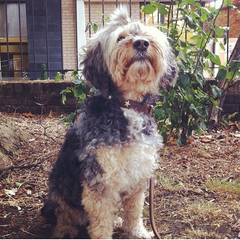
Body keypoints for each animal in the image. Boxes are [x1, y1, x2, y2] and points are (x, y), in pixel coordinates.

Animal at [42, 6, 178, 240]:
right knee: (65, 215)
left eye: (147, 35)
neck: (128, 106)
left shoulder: (138, 175)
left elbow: (134, 209)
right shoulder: (100, 181)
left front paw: (137, 231)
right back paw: (65, 230)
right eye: (120, 38)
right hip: (61, 189)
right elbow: (100, 222)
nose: (141, 43)